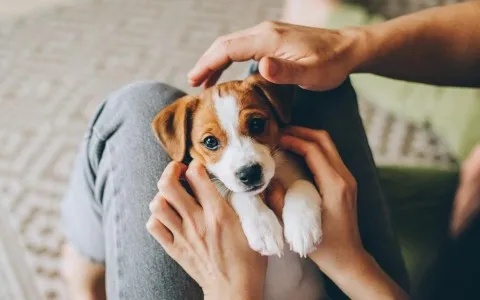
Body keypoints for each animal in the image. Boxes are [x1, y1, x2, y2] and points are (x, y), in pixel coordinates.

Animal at [154, 74, 326, 298]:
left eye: (256, 124)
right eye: (210, 141)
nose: (249, 173)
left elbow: (302, 182)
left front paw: (303, 226)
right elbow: (238, 194)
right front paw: (263, 227)